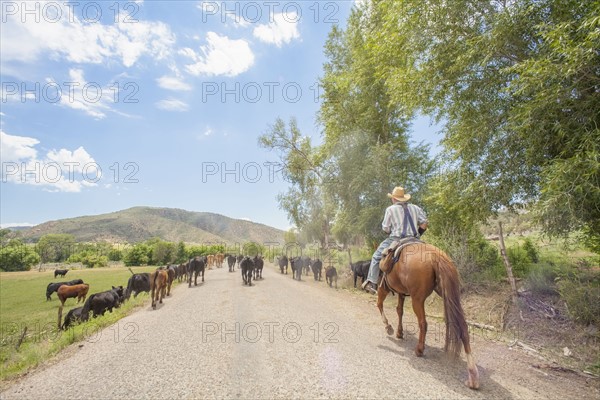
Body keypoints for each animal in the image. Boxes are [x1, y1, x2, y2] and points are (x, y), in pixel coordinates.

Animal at [380, 242, 478, 390]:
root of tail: (435, 256)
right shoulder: (401, 292)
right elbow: (399, 310)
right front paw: (399, 332)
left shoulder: (383, 288)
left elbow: (380, 304)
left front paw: (388, 327)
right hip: (449, 295)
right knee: (462, 326)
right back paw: (472, 376)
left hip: (417, 299)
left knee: (423, 323)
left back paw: (419, 350)